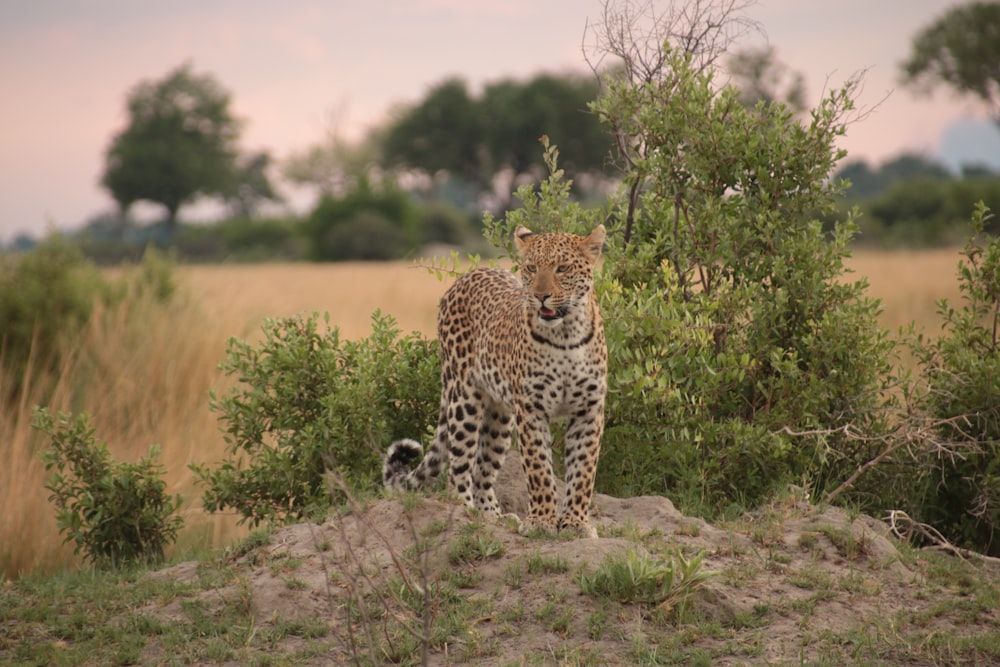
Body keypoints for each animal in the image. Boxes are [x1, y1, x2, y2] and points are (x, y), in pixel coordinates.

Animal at [382, 224, 604, 536]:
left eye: (562, 268)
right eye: (531, 268)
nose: (541, 296)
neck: (566, 335)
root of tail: (467, 275)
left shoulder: (588, 410)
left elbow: (583, 472)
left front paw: (576, 523)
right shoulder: (531, 409)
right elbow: (538, 469)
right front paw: (541, 521)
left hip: (500, 416)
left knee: (482, 471)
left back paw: (494, 517)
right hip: (463, 398)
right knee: (458, 467)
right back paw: (467, 513)